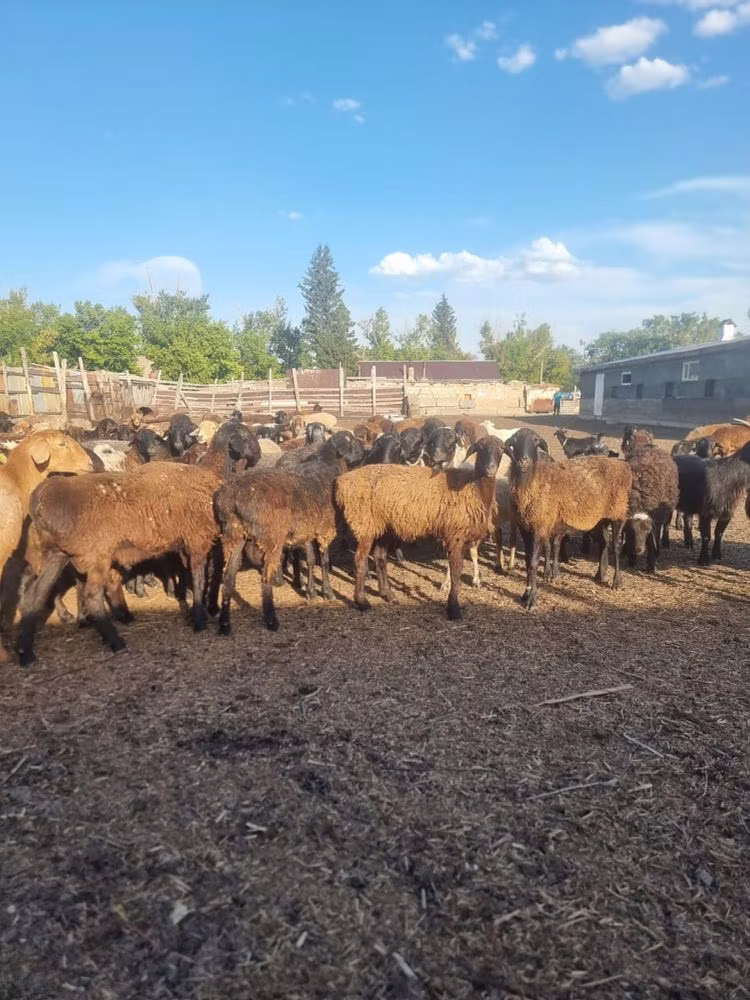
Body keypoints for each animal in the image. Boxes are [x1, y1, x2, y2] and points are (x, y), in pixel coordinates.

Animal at [214, 432, 365, 633]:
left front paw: (310, 591)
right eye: (352, 440)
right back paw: (271, 620)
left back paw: (224, 623)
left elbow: (310, 560)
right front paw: (327, 592)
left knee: (229, 578)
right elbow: (324, 561)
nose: (365, 449)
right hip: (271, 539)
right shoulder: (325, 529)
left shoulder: (307, 529)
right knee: (265, 579)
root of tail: (230, 498)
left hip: (235, 536)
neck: (327, 468)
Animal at [334, 436, 504, 621]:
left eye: (501, 450)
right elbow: (456, 571)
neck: (473, 486)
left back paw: (388, 595)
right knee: (360, 559)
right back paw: (362, 602)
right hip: (366, 523)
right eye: (480, 448)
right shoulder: (455, 535)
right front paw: (453, 608)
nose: (490, 469)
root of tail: (341, 482)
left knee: (379, 558)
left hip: (384, 526)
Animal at [504, 428, 632, 610]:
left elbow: (534, 563)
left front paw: (532, 600)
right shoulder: (525, 527)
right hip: (599, 519)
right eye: (514, 441)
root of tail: (623, 465)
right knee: (604, 542)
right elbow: (529, 561)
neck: (535, 480)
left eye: (536, 441)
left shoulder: (540, 526)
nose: (524, 461)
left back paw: (617, 582)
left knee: (616, 546)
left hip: (618, 513)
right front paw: (525, 595)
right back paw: (600, 574)